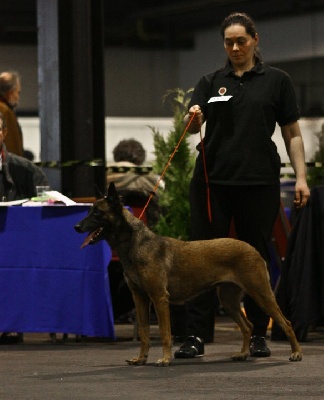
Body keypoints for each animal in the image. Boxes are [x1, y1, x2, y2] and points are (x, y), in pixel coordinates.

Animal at [74, 183, 302, 368]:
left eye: (97, 213)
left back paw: (296, 353)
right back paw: (243, 354)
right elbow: (145, 334)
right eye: (89, 210)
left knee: (286, 323)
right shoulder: (140, 298)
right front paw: (140, 359)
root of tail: (252, 249)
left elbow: (165, 333)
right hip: (228, 300)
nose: (76, 226)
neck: (134, 245)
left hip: (261, 293)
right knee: (248, 326)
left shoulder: (159, 298)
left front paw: (165, 359)